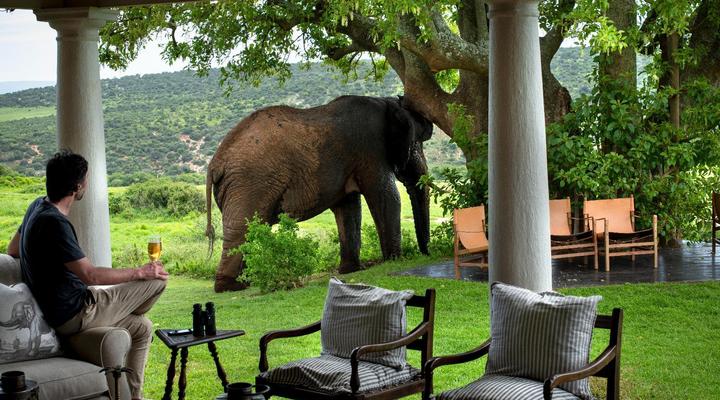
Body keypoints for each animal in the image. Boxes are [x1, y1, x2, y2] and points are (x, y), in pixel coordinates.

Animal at [205, 95, 433, 292]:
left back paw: (246, 282)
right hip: (250, 183)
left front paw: (350, 270)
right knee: (242, 229)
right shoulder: (371, 150)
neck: (386, 102)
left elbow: (348, 209)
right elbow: (386, 197)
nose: (426, 253)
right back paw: (232, 287)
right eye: (416, 144)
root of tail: (214, 164)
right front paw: (394, 260)